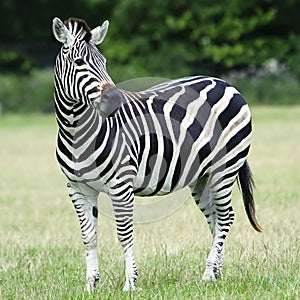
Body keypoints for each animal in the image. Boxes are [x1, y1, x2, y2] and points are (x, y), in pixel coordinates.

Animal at [52, 17, 262, 292]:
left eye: (104, 62)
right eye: (78, 62)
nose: (115, 100)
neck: (76, 132)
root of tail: (225, 83)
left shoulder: (121, 185)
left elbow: (124, 233)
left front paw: (130, 283)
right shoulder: (77, 188)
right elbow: (89, 236)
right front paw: (90, 285)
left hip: (224, 168)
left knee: (226, 217)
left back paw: (208, 274)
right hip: (201, 177)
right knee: (216, 219)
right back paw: (215, 273)